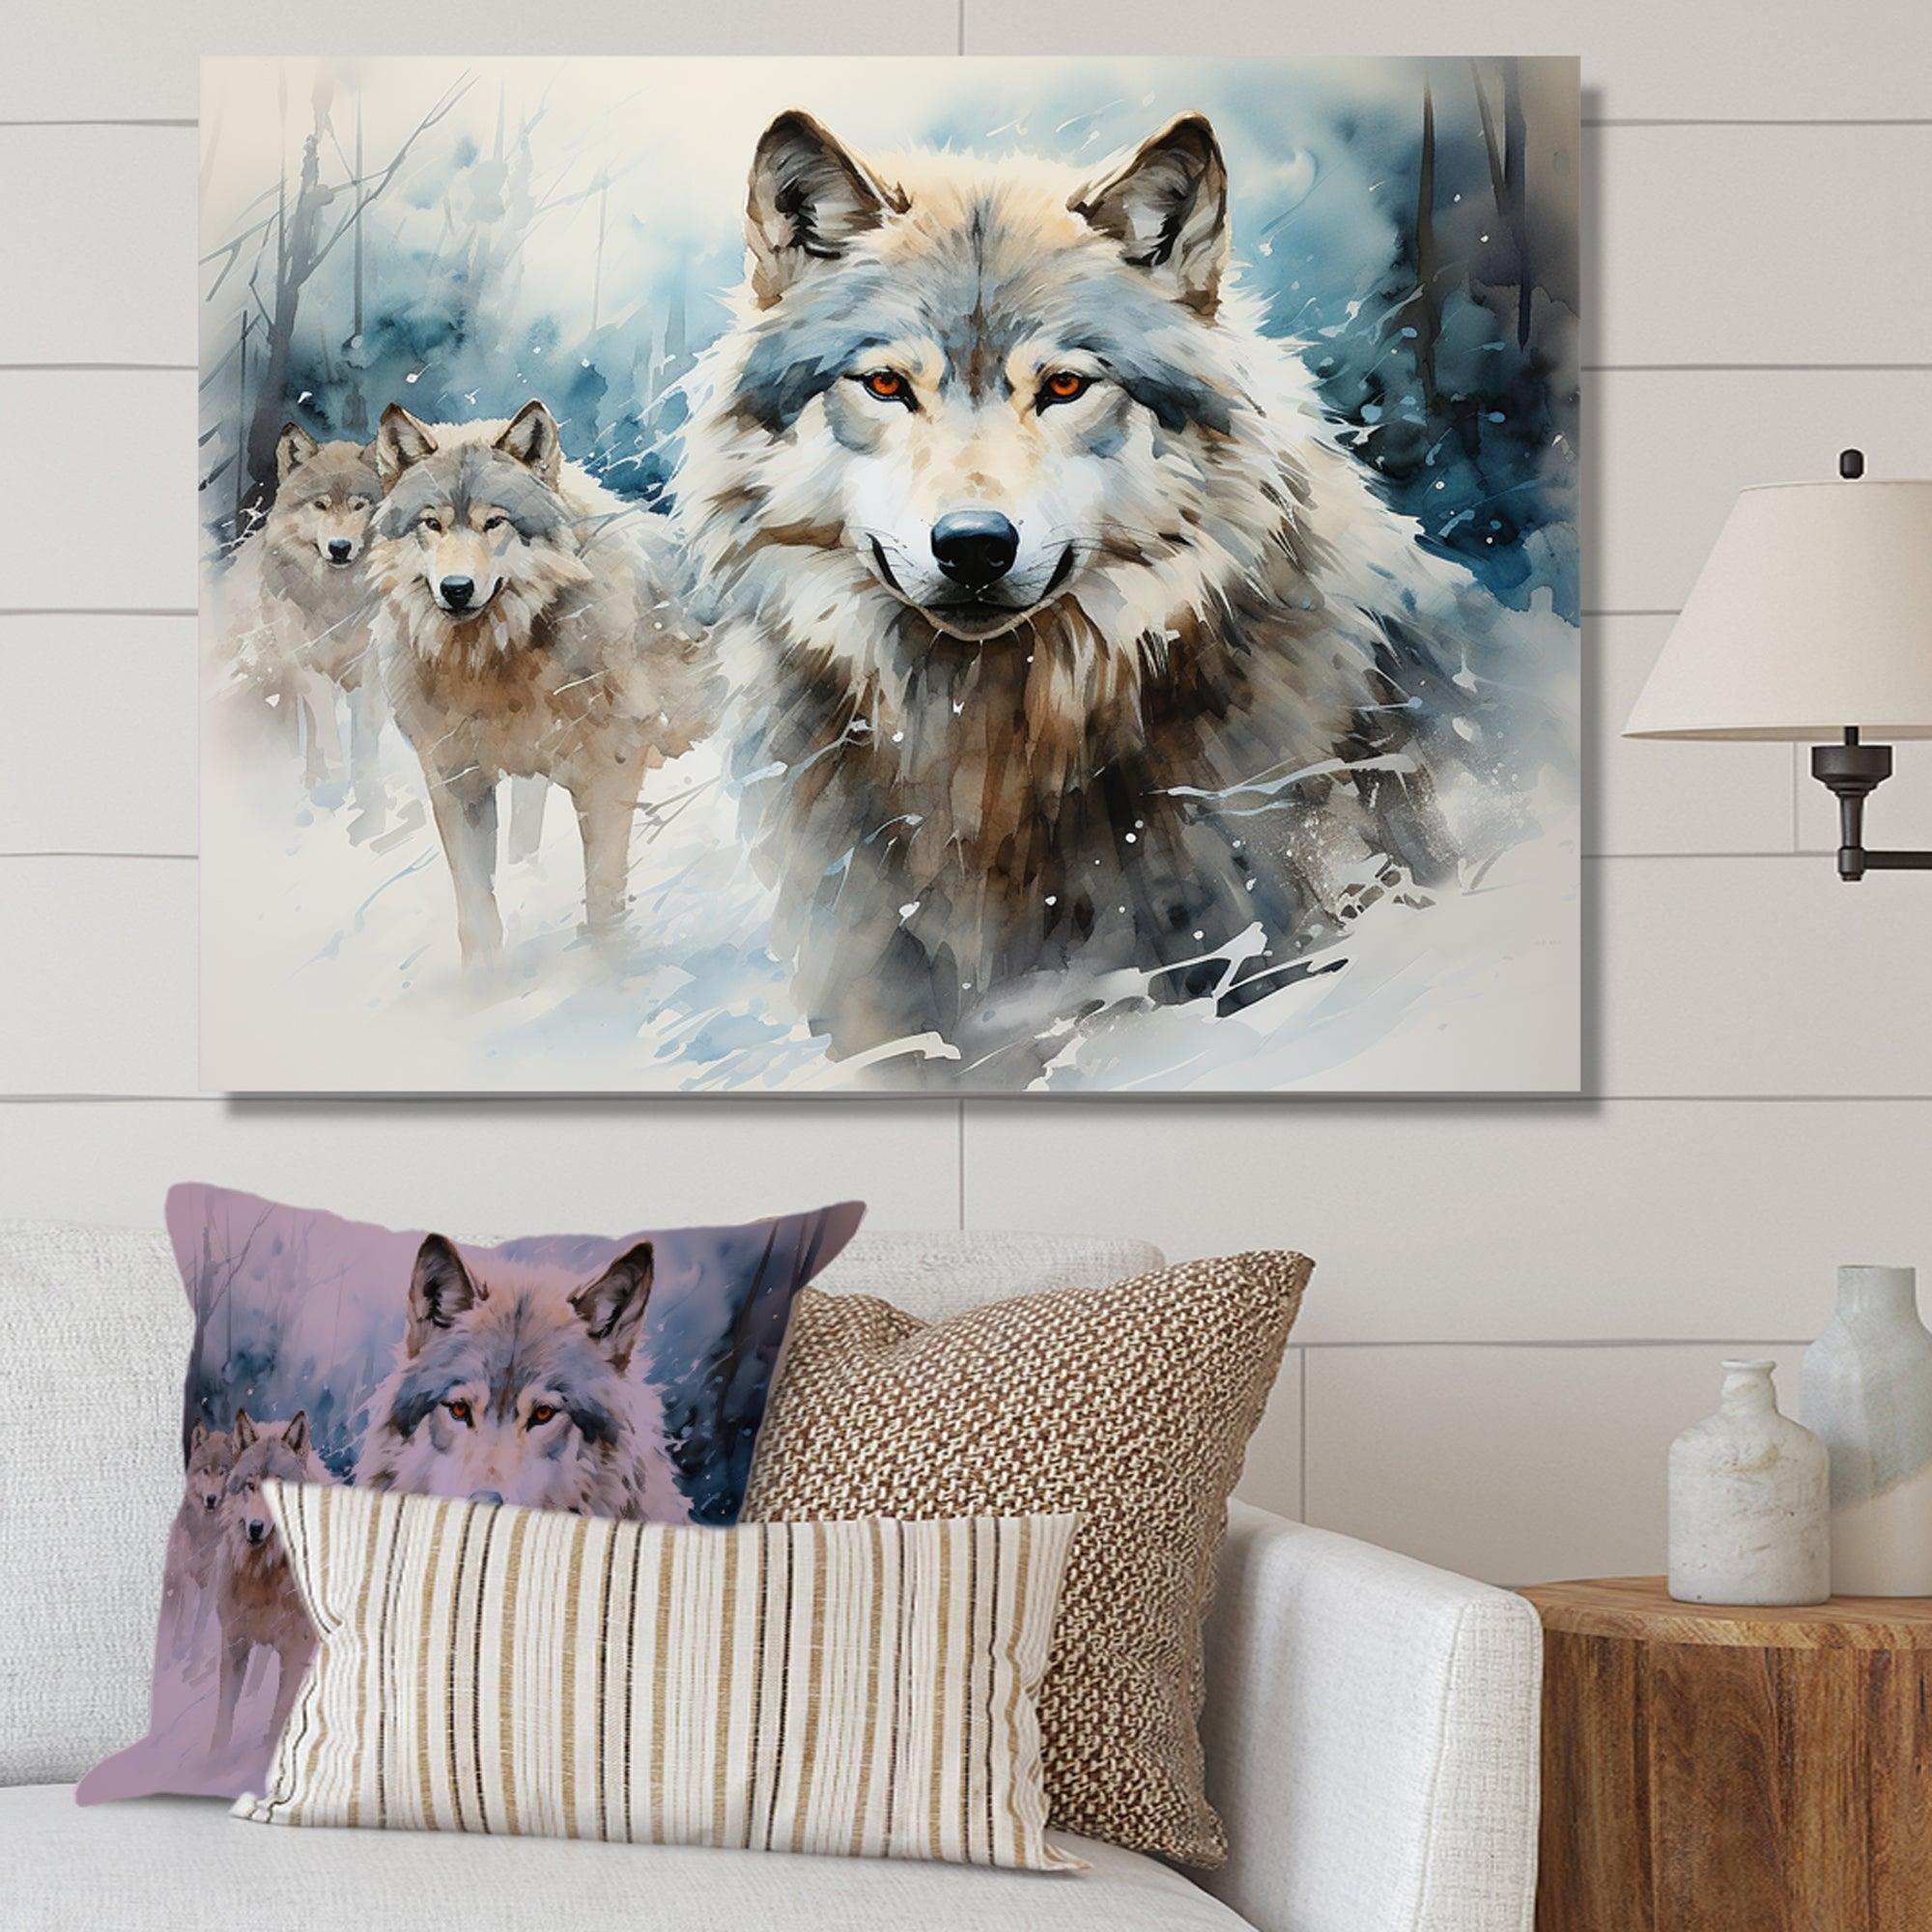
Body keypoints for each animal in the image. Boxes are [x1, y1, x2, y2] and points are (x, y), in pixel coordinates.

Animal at [158, 1423, 232, 1666]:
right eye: (205, 1471)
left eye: (222, 1472)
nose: (211, 1499)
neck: (205, 1531)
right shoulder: (188, 1576)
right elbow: (187, 1617)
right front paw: (180, 1650)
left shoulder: (211, 1583)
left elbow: (200, 1623)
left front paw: (195, 1655)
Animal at [209, 1410, 328, 1758]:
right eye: (250, 1486)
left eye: (279, 1488)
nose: (255, 1528)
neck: (262, 1573)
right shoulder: (234, 1641)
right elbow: (225, 1713)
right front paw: (213, 1761)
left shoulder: (296, 1649)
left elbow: (281, 1714)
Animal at [220, 424, 388, 830]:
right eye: (321, 505)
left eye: (359, 505)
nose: (340, 547)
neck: (337, 600)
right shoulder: (309, 666)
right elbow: (325, 729)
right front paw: (332, 785)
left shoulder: (367, 668)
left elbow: (364, 734)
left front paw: (369, 799)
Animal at [369, 400, 718, 965]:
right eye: (432, 524)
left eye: (494, 522)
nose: (456, 588)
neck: (493, 660)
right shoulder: (455, 777)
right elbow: (475, 906)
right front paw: (484, 982)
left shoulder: (609, 772)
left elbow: (602, 897)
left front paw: (608, 971)